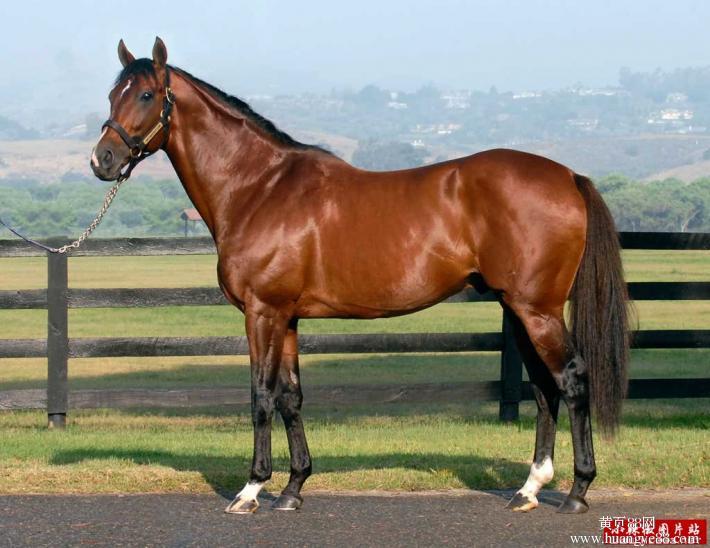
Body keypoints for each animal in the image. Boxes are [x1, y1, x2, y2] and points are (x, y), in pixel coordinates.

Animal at [91, 37, 630, 515]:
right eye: (113, 94)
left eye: (145, 95)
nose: (102, 160)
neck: (259, 188)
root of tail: (569, 177)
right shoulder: (287, 318)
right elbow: (291, 396)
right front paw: (294, 488)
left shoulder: (262, 313)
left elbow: (261, 395)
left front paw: (251, 490)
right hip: (518, 308)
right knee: (543, 387)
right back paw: (530, 488)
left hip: (537, 310)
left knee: (571, 380)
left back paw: (577, 492)